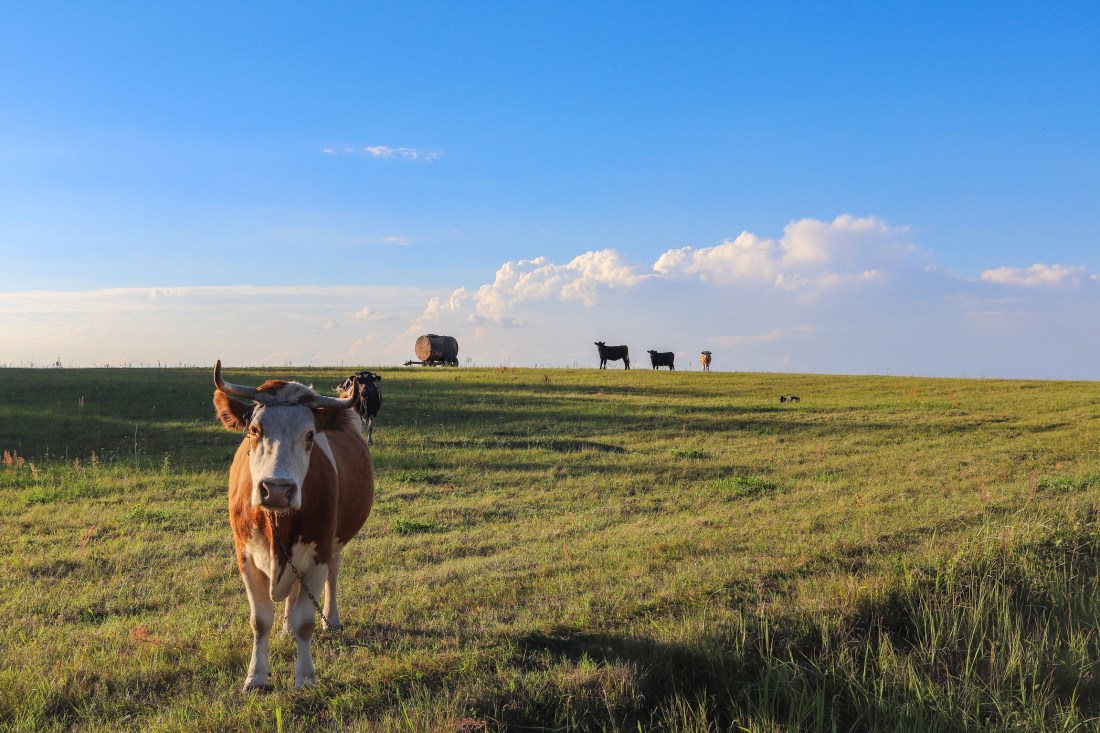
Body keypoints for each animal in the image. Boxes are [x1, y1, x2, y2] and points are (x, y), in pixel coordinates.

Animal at [213, 361, 374, 691]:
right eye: (254, 430)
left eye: (310, 435)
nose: (277, 489)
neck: (277, 520)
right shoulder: (245, 556)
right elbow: (260, 620)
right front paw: (256, 677)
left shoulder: (319, 552)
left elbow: (306, 622)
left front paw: (305, 677)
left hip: (335, 545)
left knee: (332, 578)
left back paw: (331, 620)